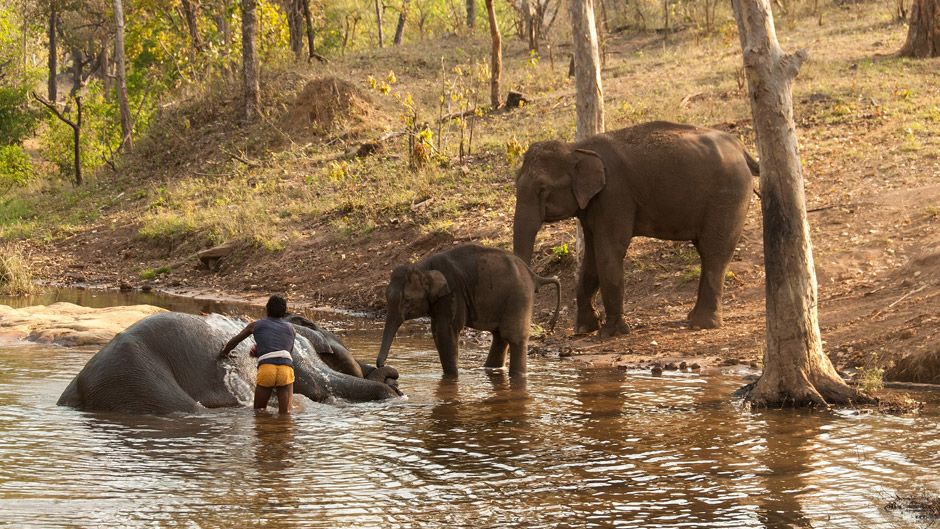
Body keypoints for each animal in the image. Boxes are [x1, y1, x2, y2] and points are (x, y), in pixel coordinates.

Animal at [378, 242, 560, 376]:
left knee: (513, 336)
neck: (424, 267)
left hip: (519, 296)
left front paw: (452, 377)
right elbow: (437, 331)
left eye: (407, 300)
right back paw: (490, 369)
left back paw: (517, 375)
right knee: (500, 336)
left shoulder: (453, 293)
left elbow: (445, 331)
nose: (381, 365)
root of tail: (534, 275)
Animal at [510, 120, 760, 334]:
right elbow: (591, 259)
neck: (576, 148)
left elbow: (609, 252)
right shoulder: (592, 205)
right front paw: (584, 329)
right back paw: (693, 319)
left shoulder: (614, 195)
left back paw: (702, 324)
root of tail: (740, 147)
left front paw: (611, 333)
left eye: (542, 189)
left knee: (714, 252)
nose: (550, 326)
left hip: (727, 197)